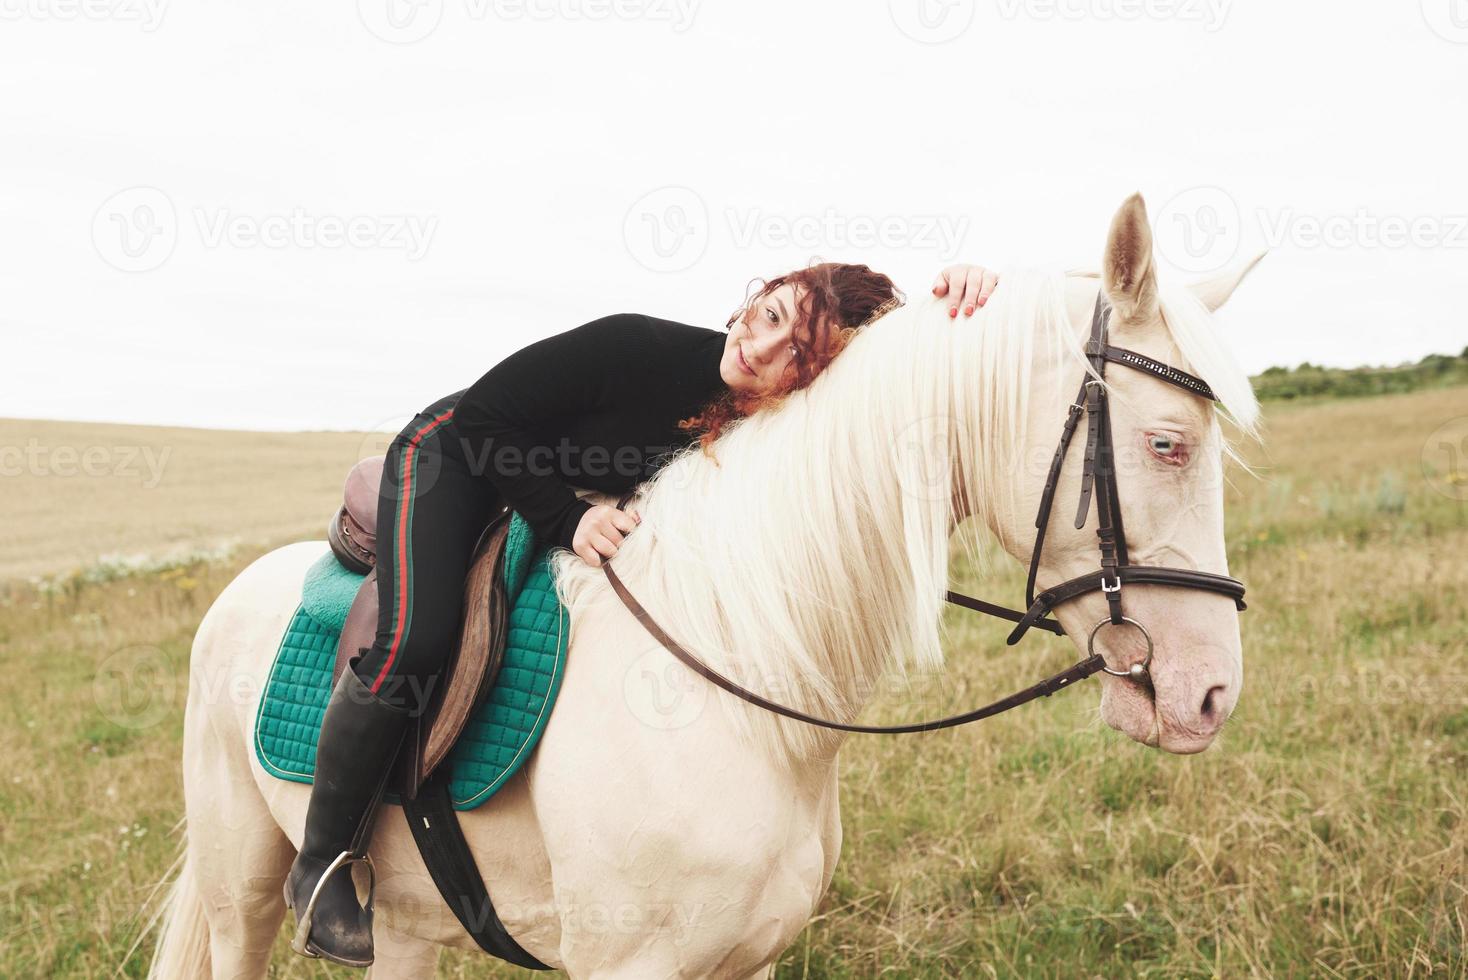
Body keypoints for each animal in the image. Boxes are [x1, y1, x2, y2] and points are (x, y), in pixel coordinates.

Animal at [146, 193, 1262, 979]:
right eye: (1167, 441)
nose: (1209, 695)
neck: (733, 678)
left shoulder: (748, 956)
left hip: (410, 923)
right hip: (243, 891)